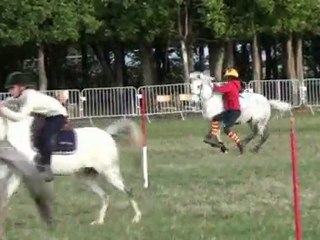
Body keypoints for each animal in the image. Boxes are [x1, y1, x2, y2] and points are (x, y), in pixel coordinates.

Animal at [0, 116, 143, 225]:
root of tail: (107, 134)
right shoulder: (18, 174)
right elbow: (8, 195)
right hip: (86, 177)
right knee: (105, 196)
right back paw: (99, 221)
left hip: (110, 173)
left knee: (128, 191)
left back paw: (136, 218)